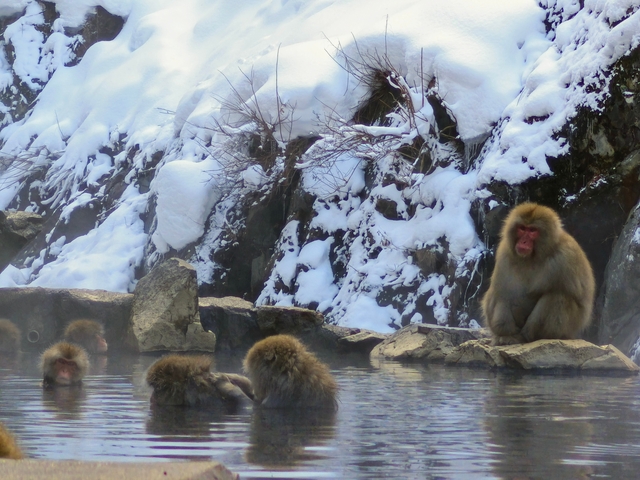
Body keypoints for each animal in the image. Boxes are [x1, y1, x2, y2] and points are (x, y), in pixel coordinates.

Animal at [482, 202, 595, 346]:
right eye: (522, 228)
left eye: (532, 231)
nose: (523, 241)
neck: (533, 257)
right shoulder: (505, 254)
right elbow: (503, 293)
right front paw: (505, 334)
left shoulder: (567, 256)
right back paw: (508, 336)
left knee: (558, 296)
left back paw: (530, 336)